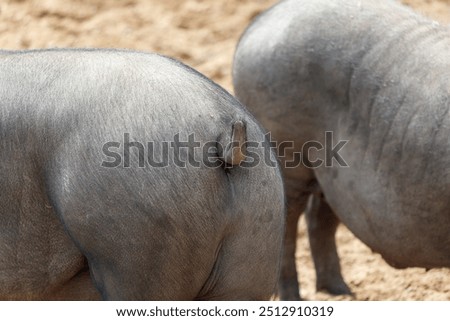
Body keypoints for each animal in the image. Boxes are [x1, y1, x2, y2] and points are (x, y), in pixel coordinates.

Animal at [232, 0, 450, 300]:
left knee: (319, 217)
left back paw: (340, 292)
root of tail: (260, 21)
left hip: (332, 172)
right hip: (285, 152)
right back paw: (294, 297)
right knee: (287, 225)